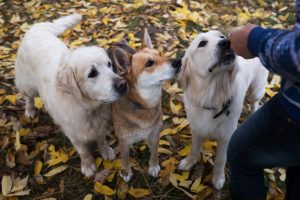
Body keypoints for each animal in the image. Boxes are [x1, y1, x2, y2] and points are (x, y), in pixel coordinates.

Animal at [15, 14, 127, 177]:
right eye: (92, 73)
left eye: (109, 64)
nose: (123, 84)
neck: (88, 109)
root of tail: (37, 27)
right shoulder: (74, 134)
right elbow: (84, 152)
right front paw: (88, 166)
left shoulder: (100, 125)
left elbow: (101, 140)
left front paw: (105, 151)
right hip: (27, 84)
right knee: (28, 97)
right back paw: (30, 111)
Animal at [109, 28, 182, 182]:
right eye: (149, 64)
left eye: (159, 54)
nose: (179, 61)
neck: (143, 106)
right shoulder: (124, 140)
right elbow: (125, 158)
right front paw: (126, 172)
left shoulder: (155, 134)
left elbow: (154, 152)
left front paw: (153, 166)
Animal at [177, 30, 268, 190]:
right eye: (202, 43)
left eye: (221, 37)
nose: (226, 43)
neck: (212, 96)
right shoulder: (197, 128)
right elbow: (194, 149)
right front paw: (189, 162)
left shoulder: (226, 137)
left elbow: (220, 160)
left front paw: (218, 179)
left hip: (256, 90)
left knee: (255, 103)